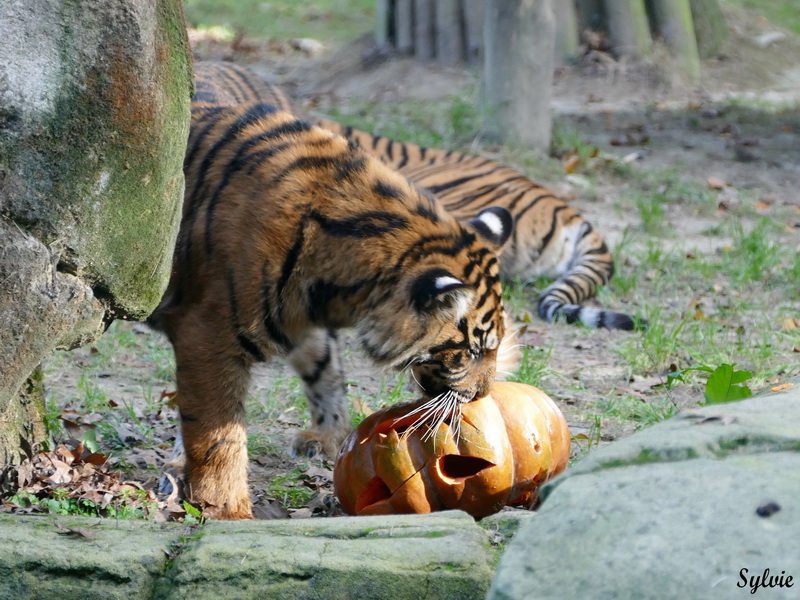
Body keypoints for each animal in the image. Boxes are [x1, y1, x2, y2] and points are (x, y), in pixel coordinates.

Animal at [148, 62, 512, 520]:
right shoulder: (208, 335)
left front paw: (332, 441)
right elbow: (217, 431)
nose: (483, 394)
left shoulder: (300, 318)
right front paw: (227, 507)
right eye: (473, 351)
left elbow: (326, 375)